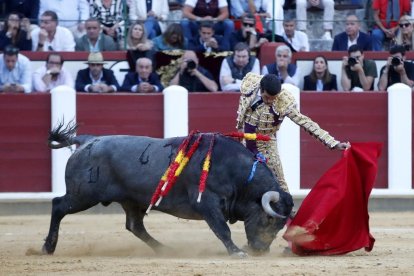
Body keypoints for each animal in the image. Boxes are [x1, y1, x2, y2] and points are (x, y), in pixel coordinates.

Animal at [43, 125, 292, 256]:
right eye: (270, 219)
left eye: (281, 225)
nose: (260, 249)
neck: (236, 173)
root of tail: (88, 140)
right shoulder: (207, 203)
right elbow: (222, 230)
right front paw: (236, 252)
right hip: (83, 196)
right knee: (58, 205)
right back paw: (48, 247)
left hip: (130, 200)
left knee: (135, 226)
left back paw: (165, 249)